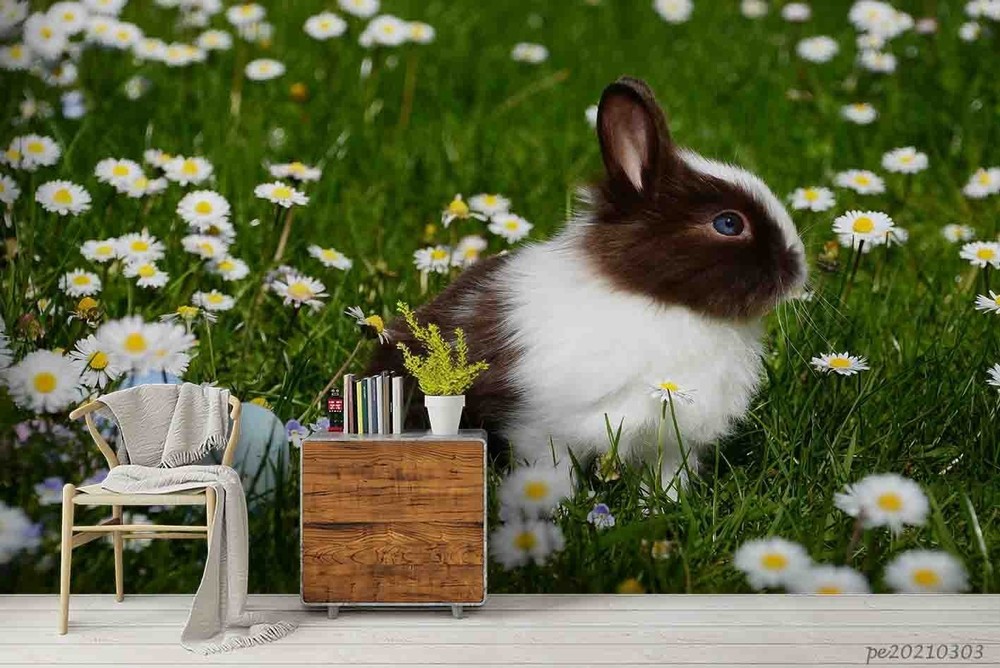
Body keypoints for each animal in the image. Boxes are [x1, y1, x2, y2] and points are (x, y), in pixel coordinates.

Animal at [370, 76, 806, 490]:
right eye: (729, 223)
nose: (798, 269)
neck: (656, 301)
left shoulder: (671, 442)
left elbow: (666, 480)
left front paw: (658, 508)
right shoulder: (541, 429)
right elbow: (550, 473)